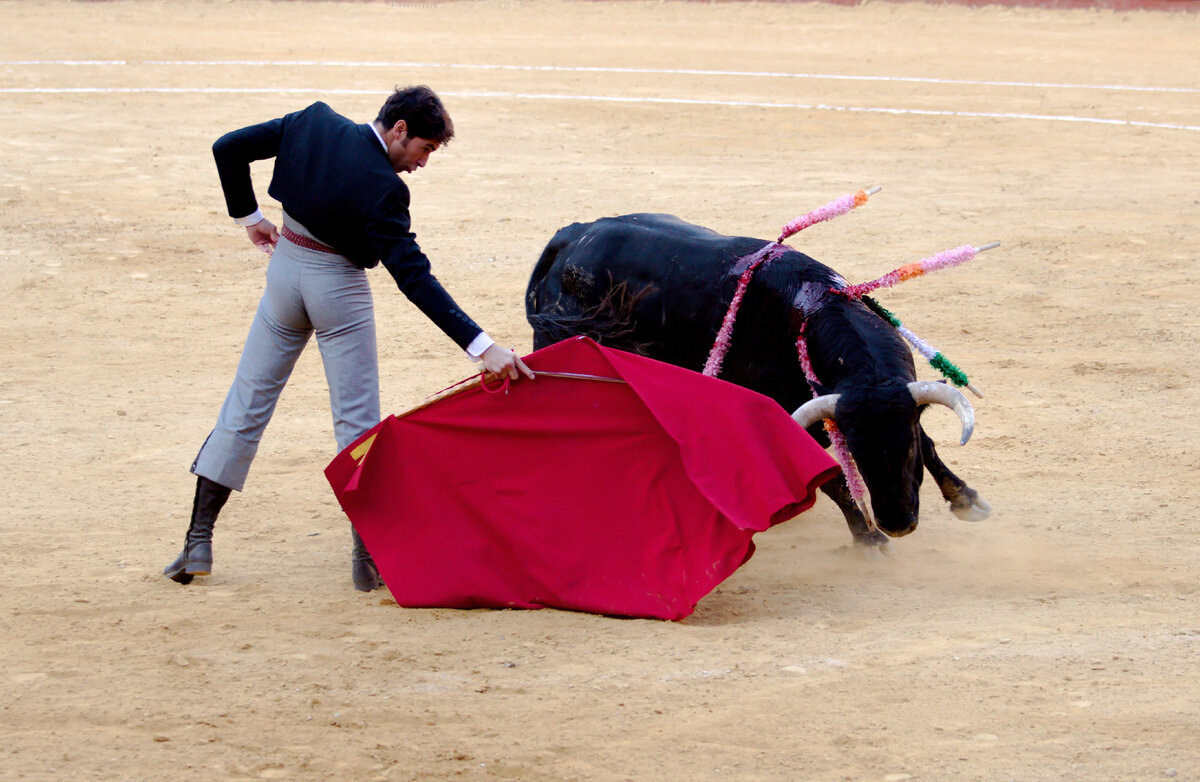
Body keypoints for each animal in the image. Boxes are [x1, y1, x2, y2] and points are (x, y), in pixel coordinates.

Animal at [530, 211, 988, 546]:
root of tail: (570, 236)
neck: (810, 309)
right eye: (856, 450)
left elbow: (930, 445)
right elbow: (833, 479)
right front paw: (870, 541)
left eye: (905, 448)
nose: (897, 524)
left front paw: (966, 499)